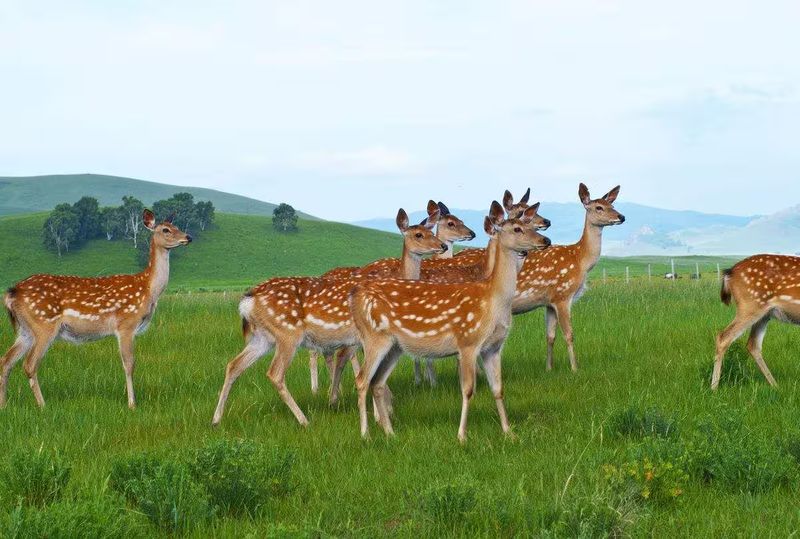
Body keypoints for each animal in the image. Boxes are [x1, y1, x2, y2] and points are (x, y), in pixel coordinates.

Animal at [0, 210, 191, 409]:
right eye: (166, 229)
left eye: (177, 226)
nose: (188, 237)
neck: (148, 289)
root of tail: (11, 293)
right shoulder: (126, 324)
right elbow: (129, 364)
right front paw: (132, 404)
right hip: (43, 324)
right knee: (29, 364)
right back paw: (42, 405)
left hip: (25, 330)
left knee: (5, 361)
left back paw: (4, 405)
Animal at [211, 208, 447, 427]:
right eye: (418, 234)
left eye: (431, 230)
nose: (443, 246)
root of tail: (248, 299)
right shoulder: (364, 337)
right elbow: (367, 373)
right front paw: (381, 415)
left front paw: (385, 410)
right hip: (287, 333)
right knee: (275, 373)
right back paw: (304, 420)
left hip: (263, 337)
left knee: (233, 365)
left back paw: (216, 419)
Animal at [349, 202, 552, 442]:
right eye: (517, 229)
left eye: (529, 225)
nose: (546, 240)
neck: (493, 301)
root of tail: (356, 297)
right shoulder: (468, 341)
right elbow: (467, 389)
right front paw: (462, 436)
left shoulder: (493, 347)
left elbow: (498, 389)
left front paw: (509, 432)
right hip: (374, 337)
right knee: (362, 380)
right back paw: (365, 435)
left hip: (395, 346)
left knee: (377, 382)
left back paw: (390, 433)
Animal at [511, 183, 625, 372]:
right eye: (599, 207)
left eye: (612, 205)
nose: (621, 216)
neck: (579, 259)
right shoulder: (562, 295)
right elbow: (569, 334)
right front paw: (575, 369)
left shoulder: (549, 301)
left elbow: (550, 336)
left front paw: (549, 369)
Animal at [711, 255, 800, 390]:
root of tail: (730, 272)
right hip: (750, 305)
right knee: (723, 337)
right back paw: (713, 388)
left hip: (764, 313)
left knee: (753, 344)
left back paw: (775, 386)